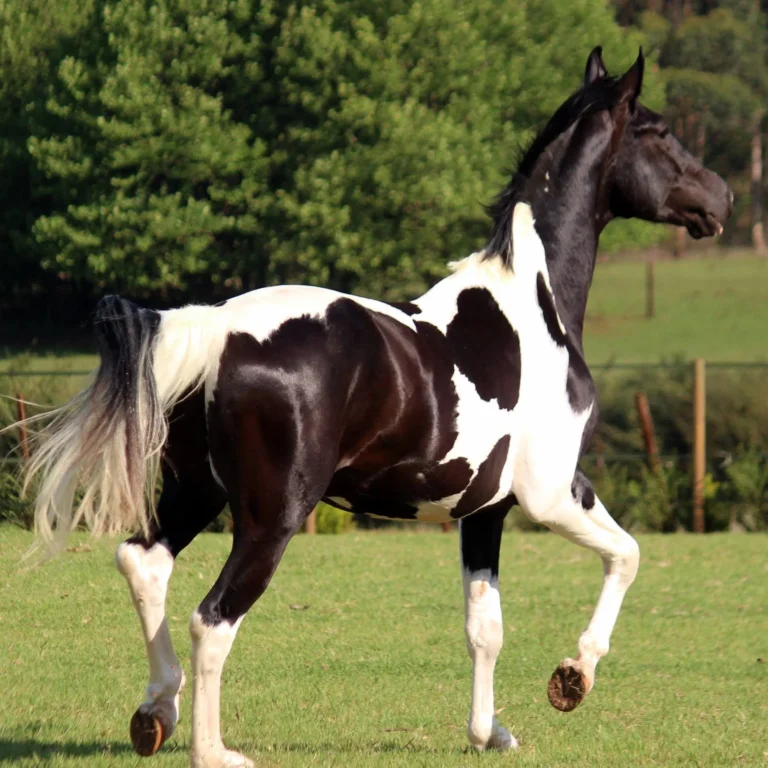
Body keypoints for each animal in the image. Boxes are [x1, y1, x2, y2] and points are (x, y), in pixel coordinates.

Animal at [23, 47, 732, 766]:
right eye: (659, 131)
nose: (722, 196)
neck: (530, 305)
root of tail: (213, 329)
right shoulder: (553, 495)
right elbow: (627, 555)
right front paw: (573, 677)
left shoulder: (485, 512)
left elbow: (486, 626)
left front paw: (490, 733)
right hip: (271, 518)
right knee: (213, 618)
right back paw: (213, 750)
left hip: (196, 491)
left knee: (143, 562)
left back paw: (154, 714)